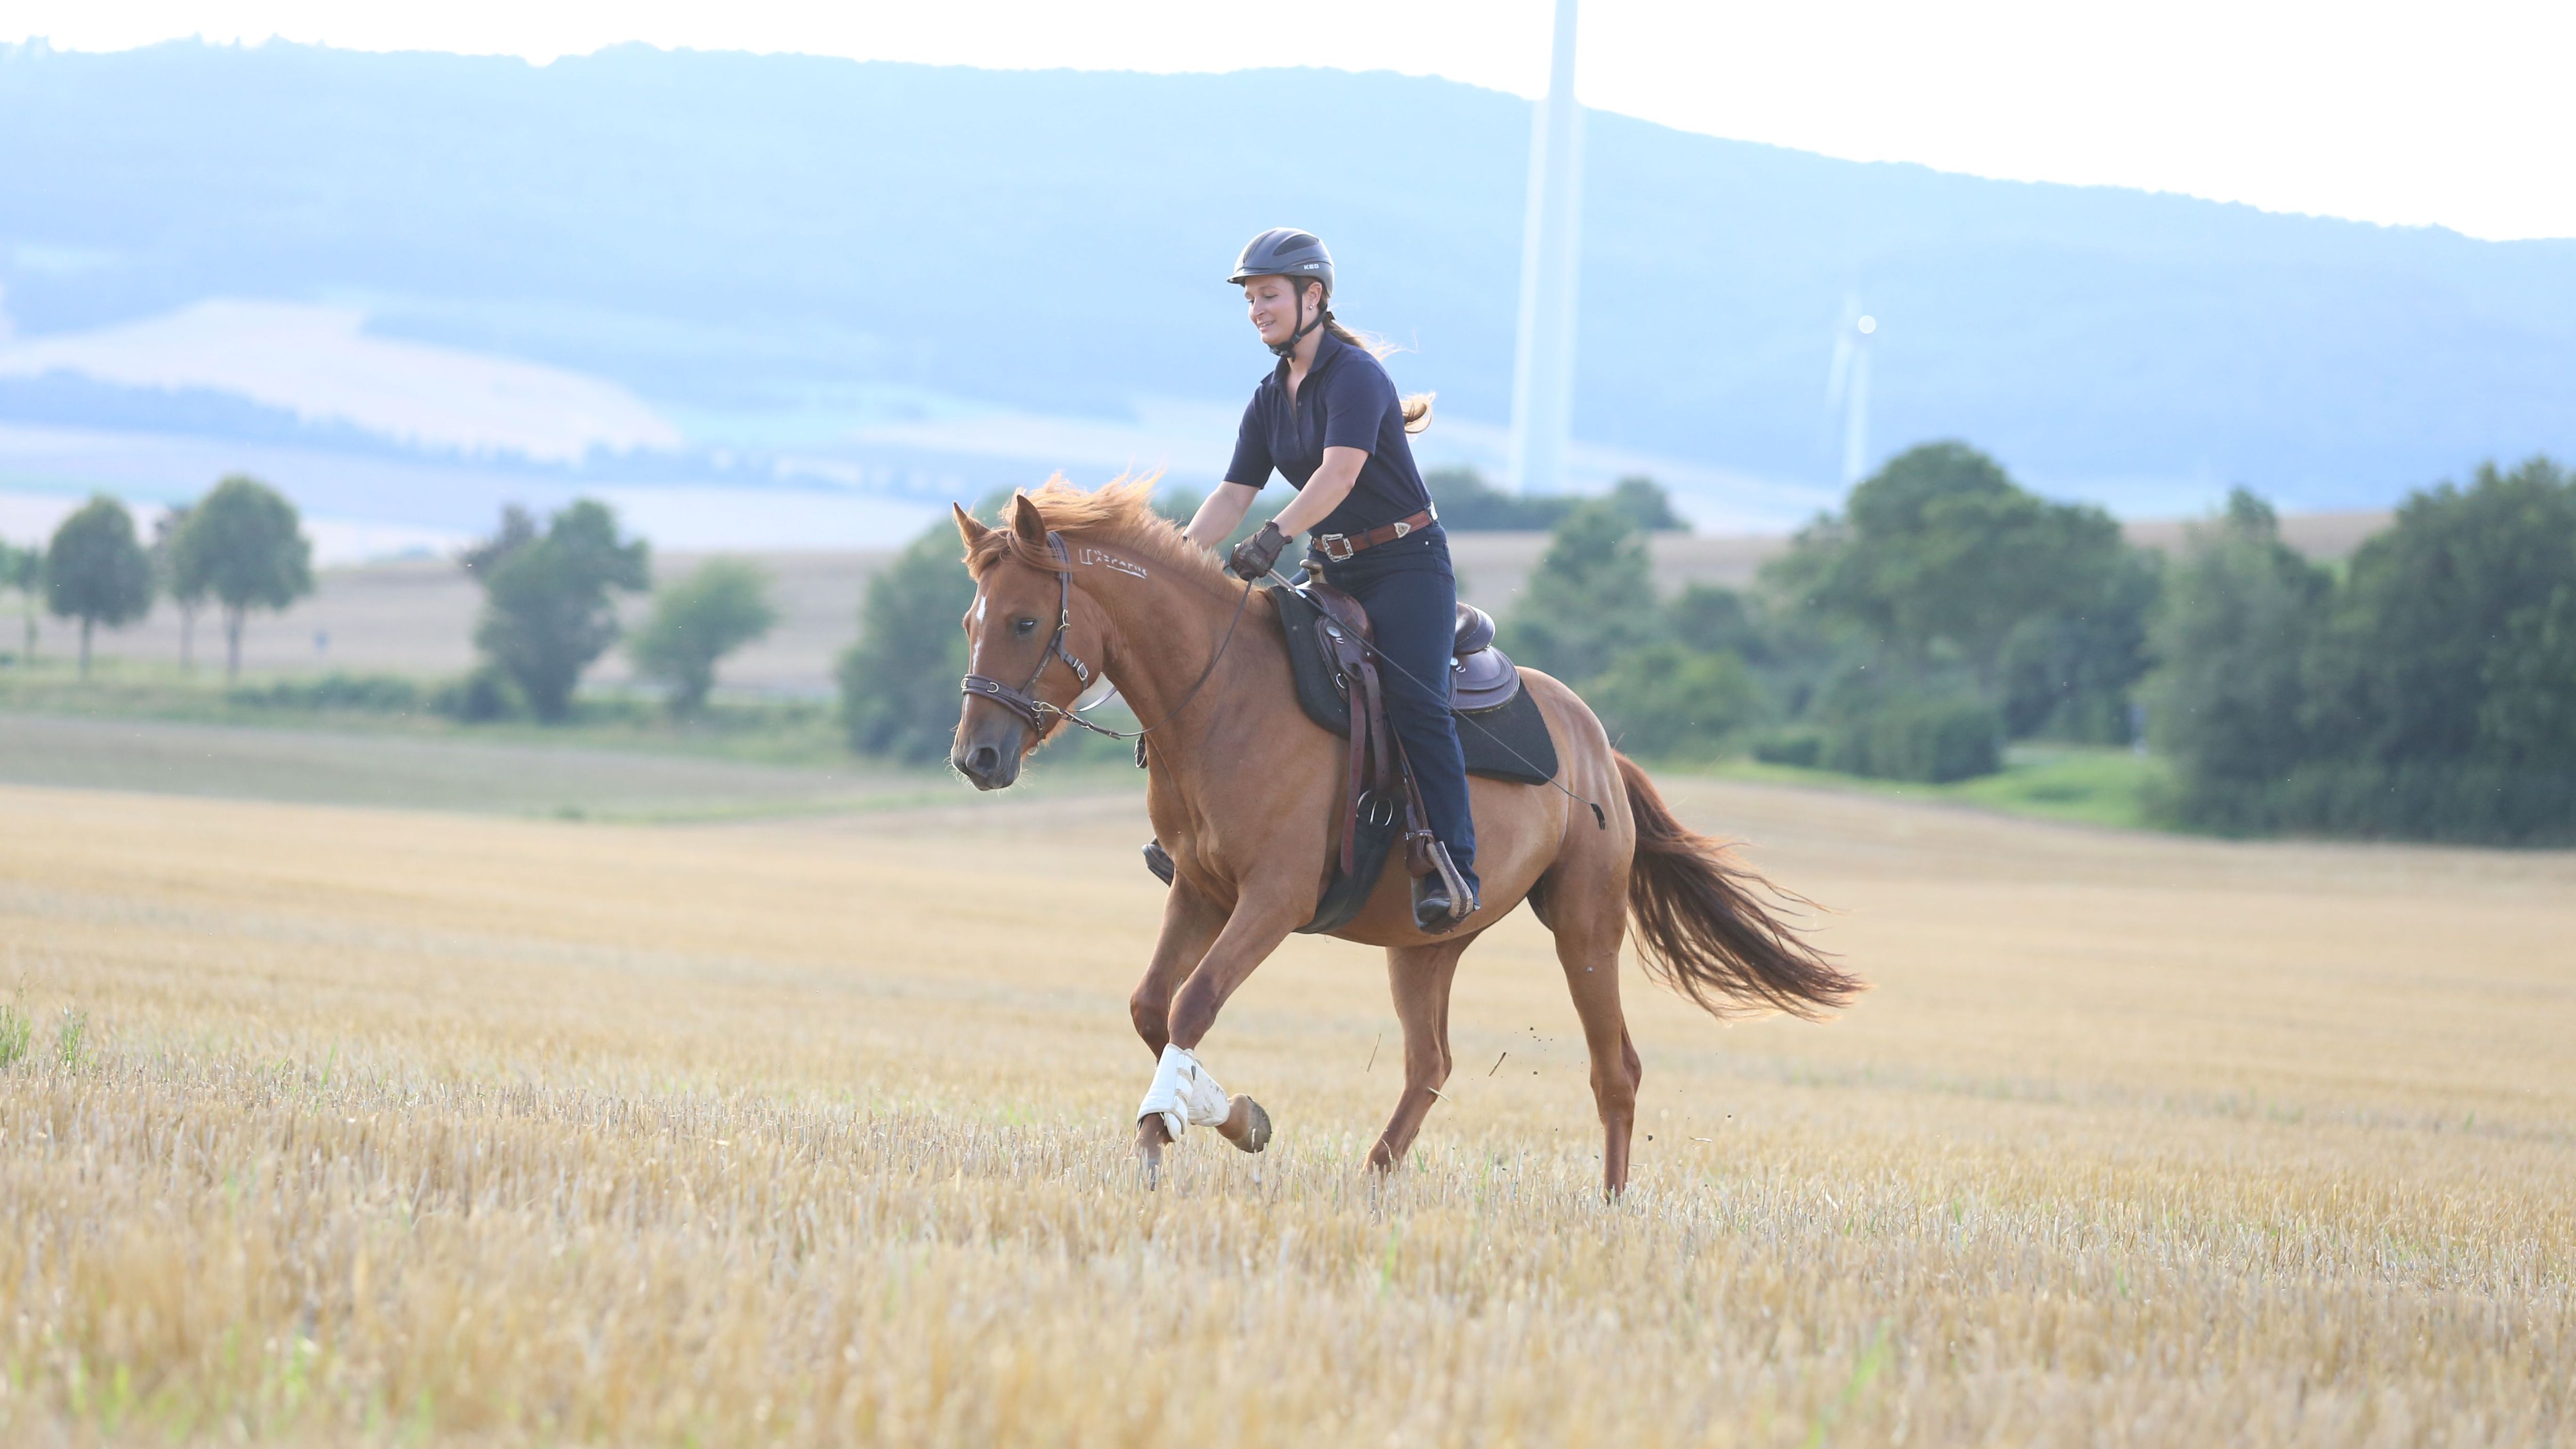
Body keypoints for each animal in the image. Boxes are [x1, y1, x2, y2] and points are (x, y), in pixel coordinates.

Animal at [948, 479, 1855, 1189]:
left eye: (1025, 622)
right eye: (969, 621)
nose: (976, 756)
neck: (1223, 698)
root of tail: (1599, 748)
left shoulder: (1272, 900)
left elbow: (1192, 1003)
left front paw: (1184, 1128)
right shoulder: (1200, 892)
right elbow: (1153, 1008)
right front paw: (1211, 1121)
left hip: (1586, 925)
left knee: (1615, 1070)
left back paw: (1611, 1206)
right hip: (1423, 948)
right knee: (1432, 1063)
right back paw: (1376, 1175)